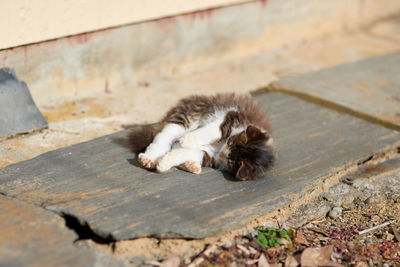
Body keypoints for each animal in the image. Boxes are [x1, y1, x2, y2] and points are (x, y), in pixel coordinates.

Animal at [128, 93, 276, 181]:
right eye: (230, 142)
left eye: (231, 161)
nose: (222, 152)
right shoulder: (232, 116)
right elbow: (213, 131)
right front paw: (188, 140)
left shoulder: (210, 156)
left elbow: (185, 153)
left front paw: (165, 162)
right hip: (187, 117)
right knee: (164, 137)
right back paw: (148, 159)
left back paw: (192, 165)